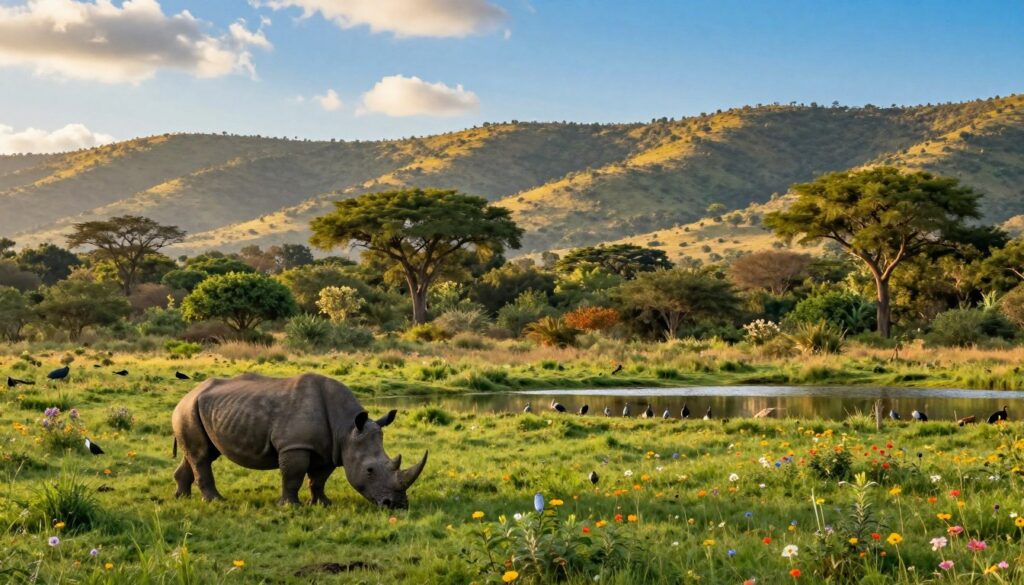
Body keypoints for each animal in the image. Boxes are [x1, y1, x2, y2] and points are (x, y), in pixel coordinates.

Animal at [171, 372, 426, 509]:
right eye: (370, 470)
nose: (397, 505)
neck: (347, 428)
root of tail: (186, 395)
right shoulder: (294, 445)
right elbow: (293, 475)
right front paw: (290, 506)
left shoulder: (330, 449)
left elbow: (319, 479)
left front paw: (323, 503)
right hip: (187, 409)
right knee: (201, 456)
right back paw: (216, 501)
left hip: (199, 409)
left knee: (200, 454)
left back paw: (182, 497)